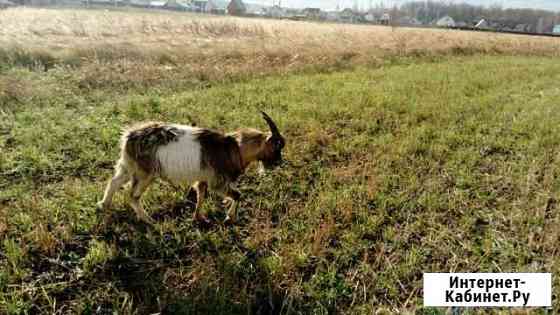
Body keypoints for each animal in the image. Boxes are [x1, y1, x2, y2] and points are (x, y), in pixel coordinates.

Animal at [95, 111, 284, 225]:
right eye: (277, 146)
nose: (279, 162)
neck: (234, 148)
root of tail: (128, 136)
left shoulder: (204, 178)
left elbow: (201, 195)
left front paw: (198, 217)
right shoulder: (218, 180)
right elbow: (238, 195)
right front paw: (229, 218)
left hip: (128, 165)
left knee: (114, 181)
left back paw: (103, 205)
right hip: (145, 173)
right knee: (133, 196)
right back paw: (149, 220)